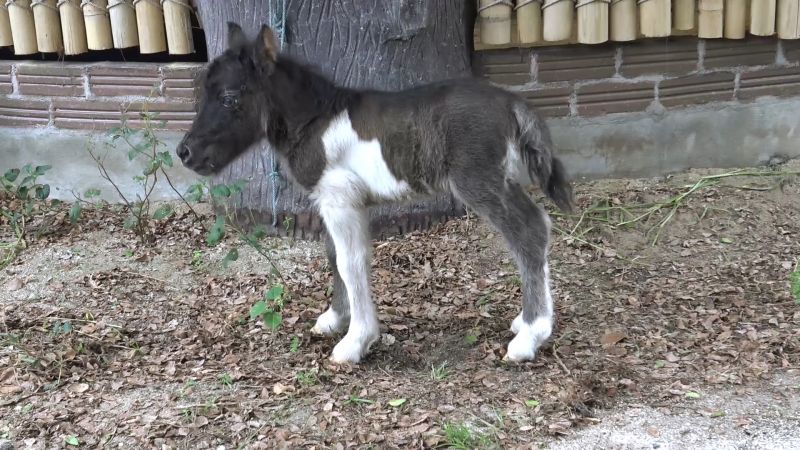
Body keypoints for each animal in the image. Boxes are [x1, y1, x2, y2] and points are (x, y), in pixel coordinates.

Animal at [178, 22, 576, 366]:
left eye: (229, 98)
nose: (185, 152)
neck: (315, 120)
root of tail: (512, 103)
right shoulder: (334, 202)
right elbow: (334, 255)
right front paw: (334, 319)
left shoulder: (340, 199)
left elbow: (350, 261)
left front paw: (355, 341)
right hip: (500, 178)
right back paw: (524, 321)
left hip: (479, 181)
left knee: (529, 231)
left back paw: (530, 336)